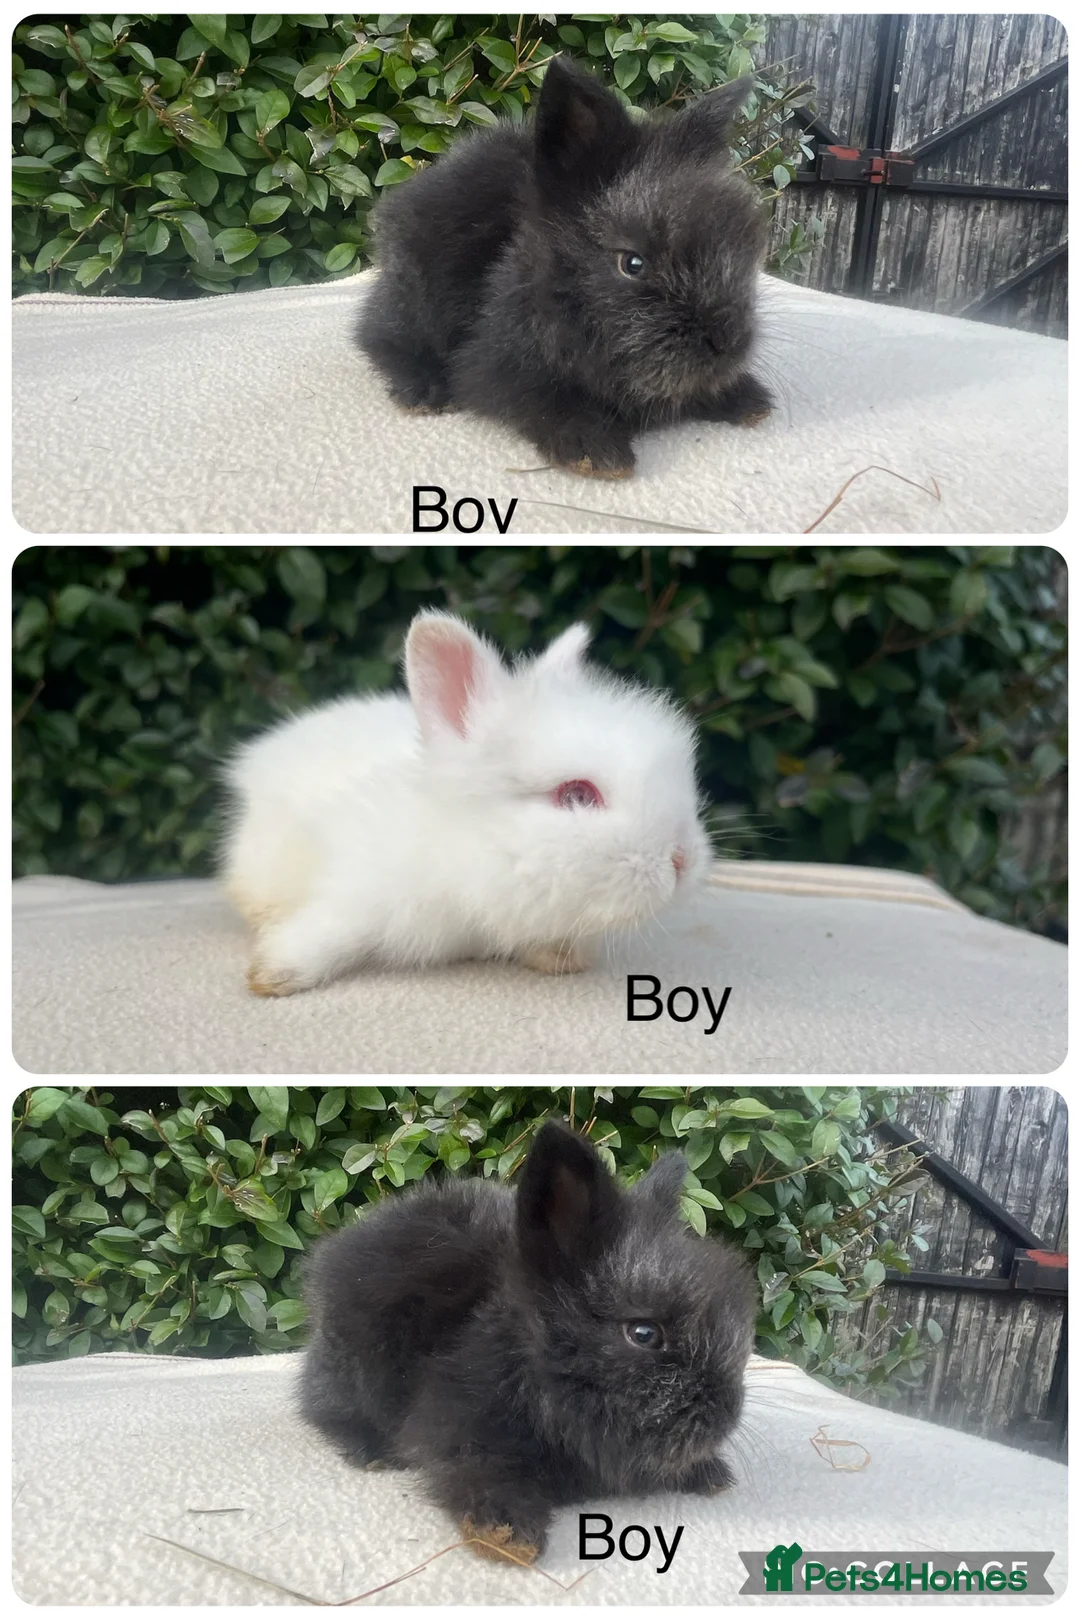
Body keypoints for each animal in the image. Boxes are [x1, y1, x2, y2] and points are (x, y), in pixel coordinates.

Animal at [221, 609, 709, 997]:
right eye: (576, 795)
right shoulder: (358, 889)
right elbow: (331, 930)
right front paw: (273, 974)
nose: (682, 860)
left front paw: (559, 959)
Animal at [298, 1119, 757, 1563]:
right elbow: (478, 1472)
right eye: (644, 1334)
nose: (727, 1416)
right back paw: (370, 1451)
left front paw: (710, 1473)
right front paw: (507, 1534)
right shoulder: (456, 1429)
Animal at [357, 55, 773, 479]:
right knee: (376, 334)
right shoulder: (492, 368)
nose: (729, 342)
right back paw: (423, 390)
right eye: (632, 263)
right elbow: (542, 400)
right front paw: (596, 450)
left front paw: (748, 399)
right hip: (416, 298)